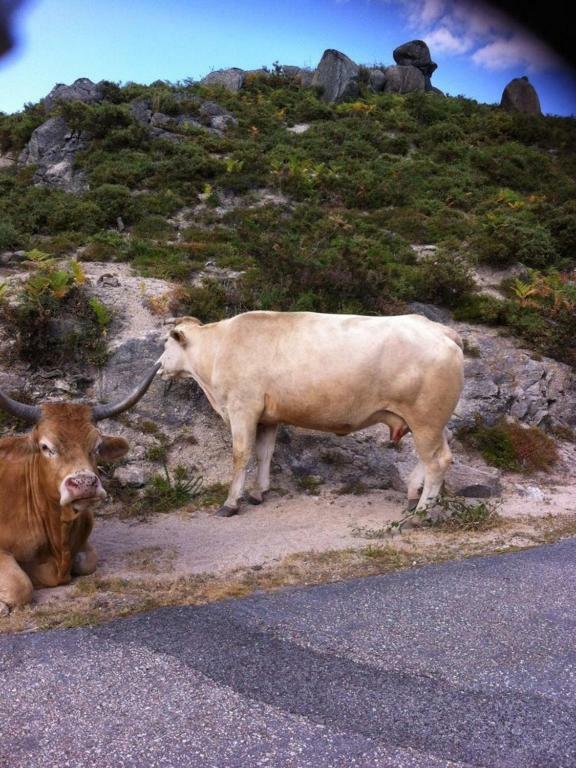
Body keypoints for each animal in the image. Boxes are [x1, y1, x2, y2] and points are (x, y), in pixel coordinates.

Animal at [158, 310, 464, 516]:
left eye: (166, 344)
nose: (159, 366)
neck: (220, 347)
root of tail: (438, 330)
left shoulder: (242, 408)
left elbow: (241, 455)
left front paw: (231, 503)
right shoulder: (269, 416)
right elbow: (264, 453)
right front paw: (259, 493)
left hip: (425, 419)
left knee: (436, 461)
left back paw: (422, 512)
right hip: (431, 421)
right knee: (441, 451)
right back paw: (414, 496)